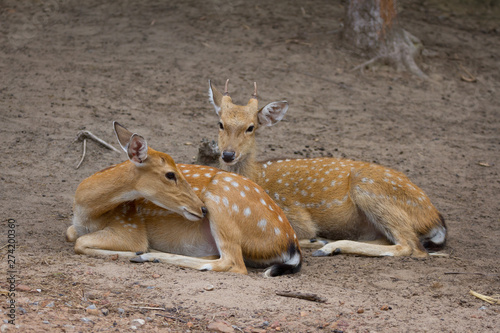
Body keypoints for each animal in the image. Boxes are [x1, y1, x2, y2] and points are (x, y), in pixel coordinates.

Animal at [66, 121, 300, 274]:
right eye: (170, 174)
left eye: (176, 171)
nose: (202, 209)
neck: (86, 214)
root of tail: (290, 243)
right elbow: (71, 235)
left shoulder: (129, 227)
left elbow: (80, 242)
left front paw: (138, 251)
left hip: (222, 203)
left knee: (233, 263)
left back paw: (149, 255)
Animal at [205, 80, 448, 256]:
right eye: (220, 123)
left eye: (251, 127)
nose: (228, 154)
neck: (257, 177)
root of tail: (435, 219)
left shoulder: (294, 215)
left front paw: (315, 239)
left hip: (369, 188)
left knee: (411, 246)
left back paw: (328, 246)